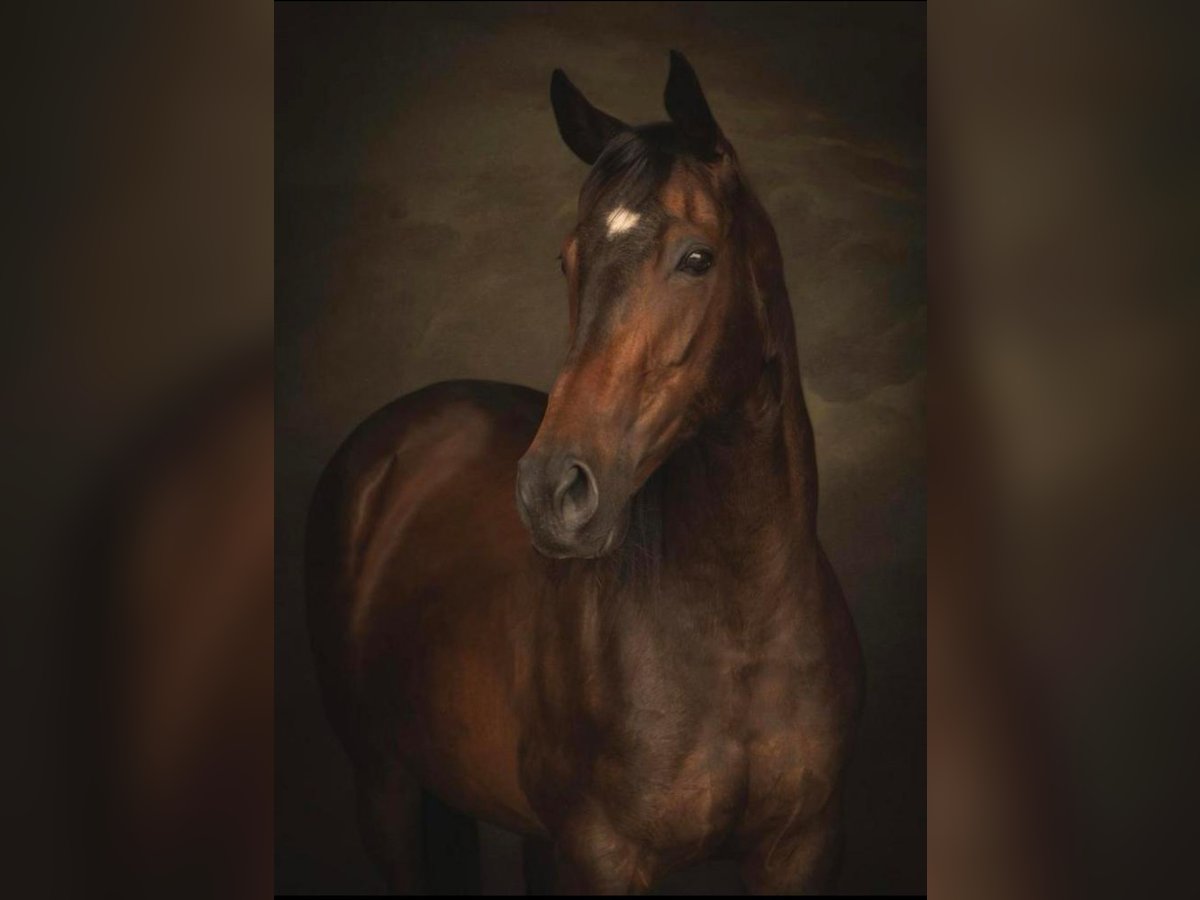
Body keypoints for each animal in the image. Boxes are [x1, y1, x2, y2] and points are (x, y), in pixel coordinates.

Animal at [306, 51, 864, 894]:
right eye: (567, 259)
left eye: (696, 258)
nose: (551, 491)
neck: (739, 631)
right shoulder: (602, 856)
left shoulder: (802, 851)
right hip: (386, 787)